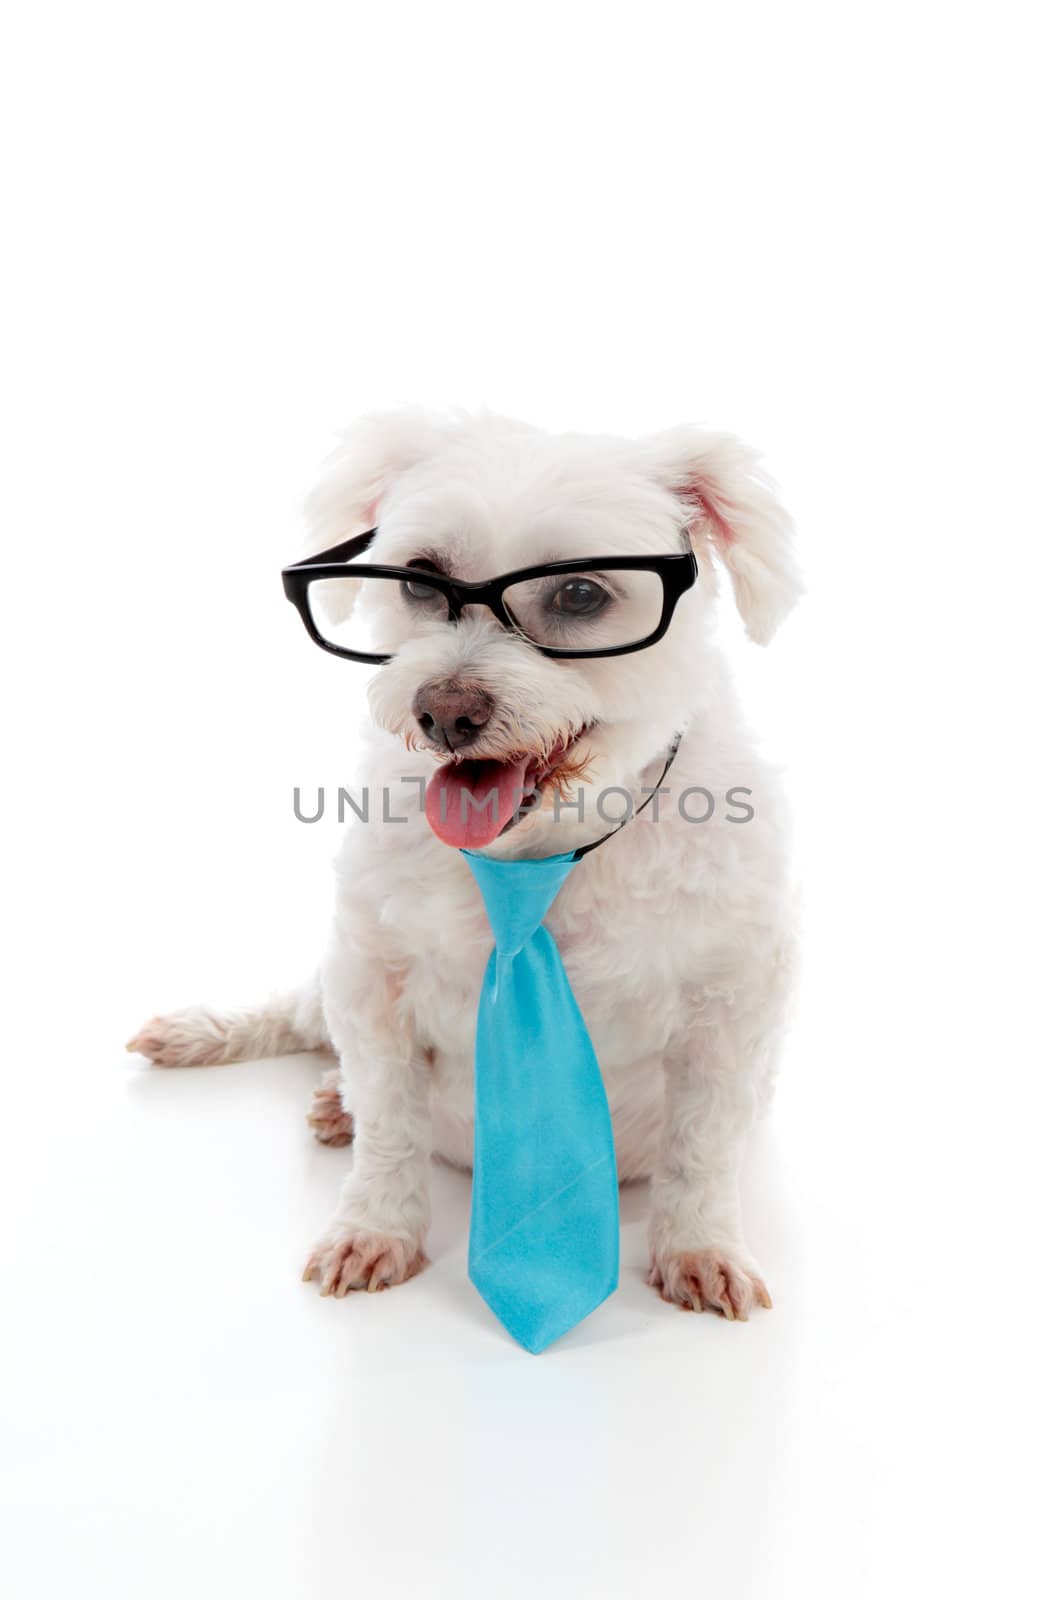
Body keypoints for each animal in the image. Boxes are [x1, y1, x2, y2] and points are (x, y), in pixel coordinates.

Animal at [125, 409, 797, 1324]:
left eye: (579, 594)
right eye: (418, 579)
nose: (443, 712)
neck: (534, 855)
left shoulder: (729, 1011)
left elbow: (703, 1148)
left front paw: (699, 1246)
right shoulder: (369, 976)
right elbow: (389, 1126)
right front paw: (375, 1226)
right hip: (325, 982)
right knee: (294, 1020)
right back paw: (219, 1041)